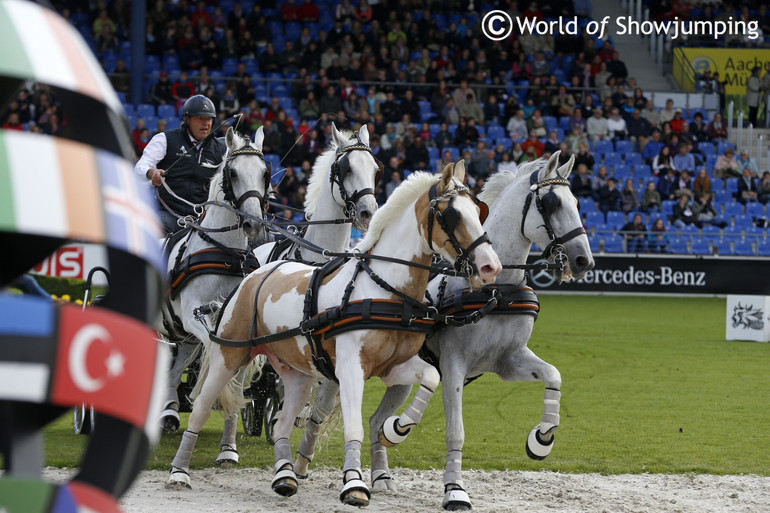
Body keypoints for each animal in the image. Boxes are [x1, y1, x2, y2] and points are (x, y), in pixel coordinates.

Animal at [157, 127, 270, 464]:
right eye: (232, 173)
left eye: (265, 172)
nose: (254, 223)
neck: (223, 253)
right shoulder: (196, 319)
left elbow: (236, 376)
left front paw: (228, 448)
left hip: (182, 338)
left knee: (172, 372)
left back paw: (168, 413)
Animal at [167, 161, 500, 504]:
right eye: (453, 215)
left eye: (478, 210)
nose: (490, 266)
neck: (383, 289)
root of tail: (255, 273)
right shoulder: (351, 369)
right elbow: (354, 428)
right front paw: (353, 483)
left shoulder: (393, 367)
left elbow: (431, 378)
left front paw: (396, 429)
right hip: (229, 357)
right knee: (202, 408)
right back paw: (180, 472)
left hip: (297, 374)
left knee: (282, 424)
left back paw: (285, 476)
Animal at [292, 151, 592, 508]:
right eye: (550, 203)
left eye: (576, 202)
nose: (583, 260)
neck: (494, 292)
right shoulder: (453, 366)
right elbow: (455, 430)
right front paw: (454, 489)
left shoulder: (508, 361)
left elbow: (553, 375)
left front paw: (542, 438)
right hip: (339, 374)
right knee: (318, 415)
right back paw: (300, 466)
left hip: (399, 377)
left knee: (375, 419)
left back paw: (381, 474)